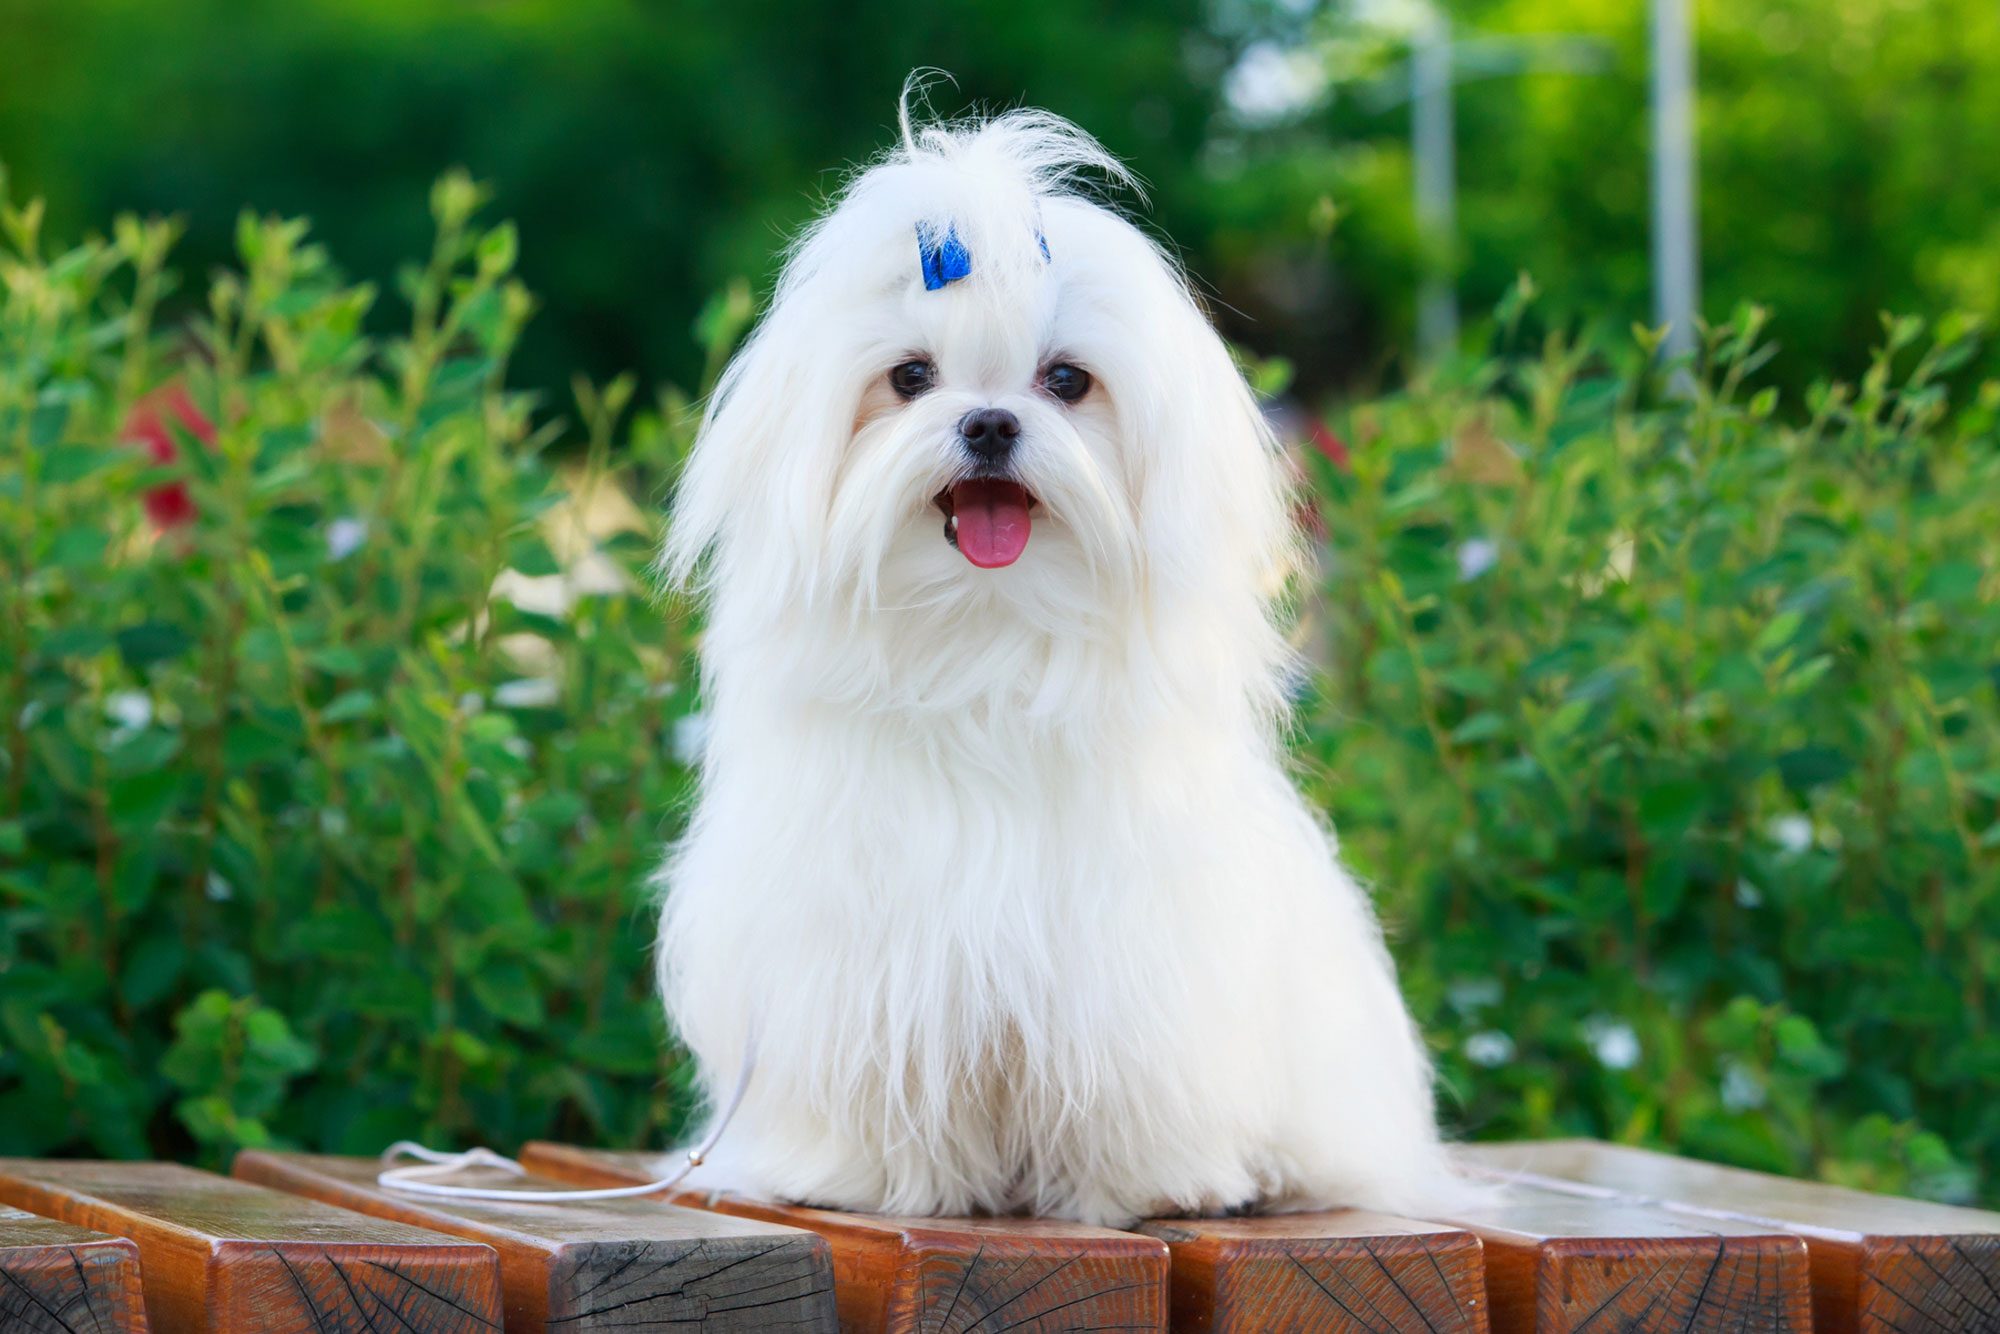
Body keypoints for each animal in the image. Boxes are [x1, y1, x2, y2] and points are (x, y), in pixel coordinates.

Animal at [656, 99, 1456, 1224]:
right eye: (909, 377)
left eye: (1066, 381)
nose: (990, 421)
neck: (986, 643)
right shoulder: (859, 954)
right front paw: (870, 1176)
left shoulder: (1129, 963)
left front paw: (1139, 1184)